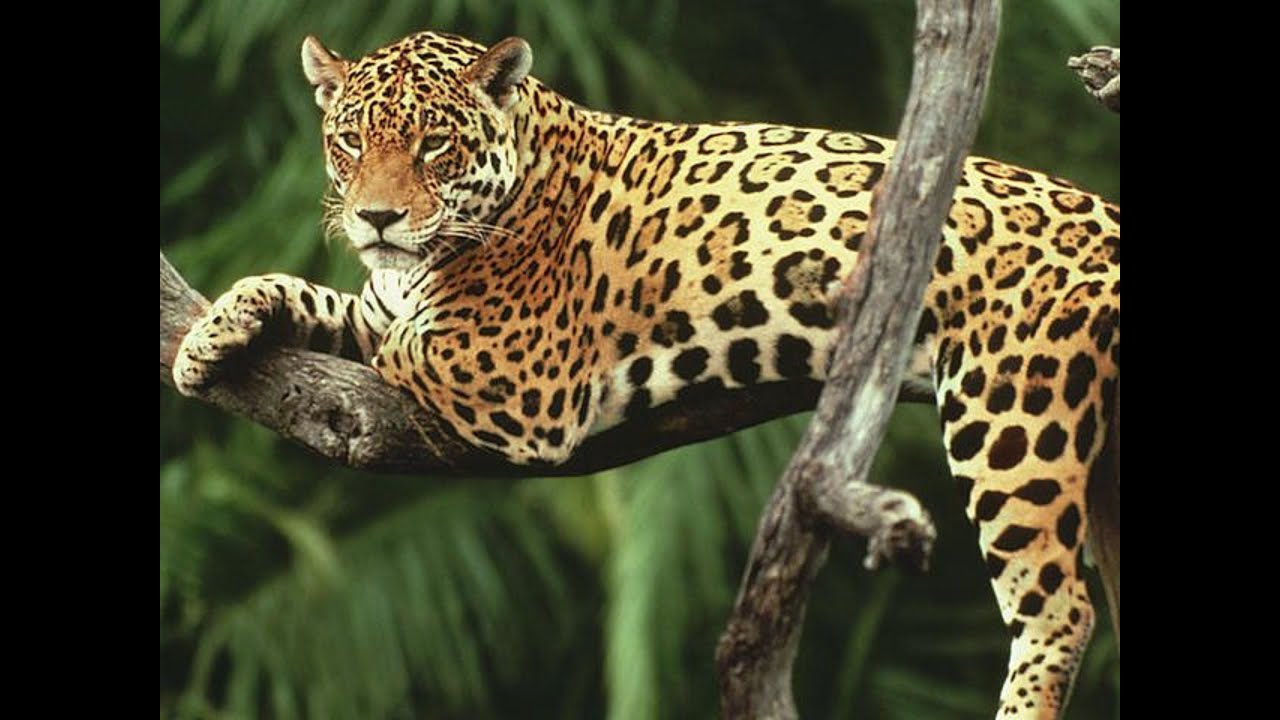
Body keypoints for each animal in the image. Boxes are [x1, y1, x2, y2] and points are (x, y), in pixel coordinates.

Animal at [171, 29, 1120, 719]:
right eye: (349, 141)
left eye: (435, 145)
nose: (376, 217)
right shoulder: (380, 302)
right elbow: (312, 295)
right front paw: (208, 337)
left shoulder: (516, 374)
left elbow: (405, 343)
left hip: (1013, 413)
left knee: (1059, 611)